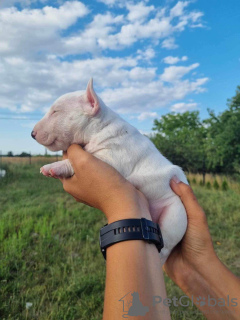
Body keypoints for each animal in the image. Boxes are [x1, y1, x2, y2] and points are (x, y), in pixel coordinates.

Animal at [31, 79, 188, 264]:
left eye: (56, 111)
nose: (32, 134)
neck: (100, 127)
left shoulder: (114, 158)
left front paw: (50, 168)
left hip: (175, 218)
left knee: (166, 246)